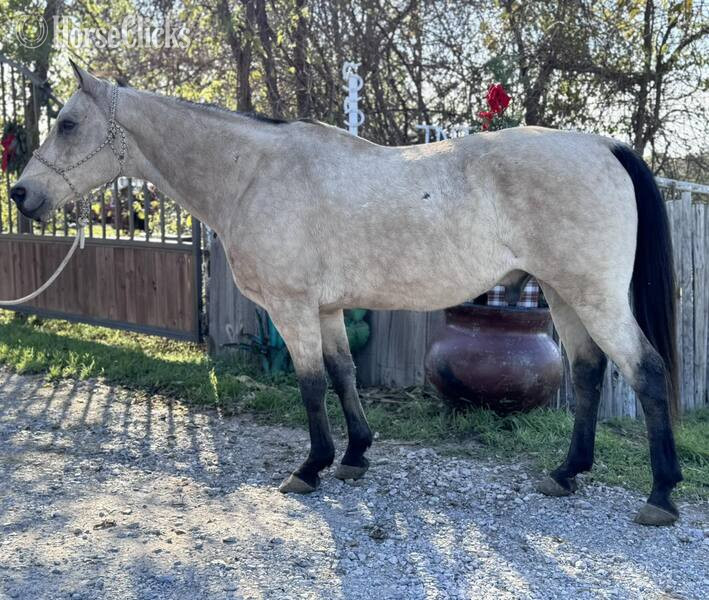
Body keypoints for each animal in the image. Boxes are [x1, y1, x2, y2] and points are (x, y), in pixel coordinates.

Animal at [9, 62, 682, 526]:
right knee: (590, 372)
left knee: (645, 371)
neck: (251, 174)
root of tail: (602, 146)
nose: (20, 194)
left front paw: (311, 467)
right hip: (566, 298)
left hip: (594, 297)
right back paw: (567, 474)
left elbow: (311, 385)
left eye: (68, 124)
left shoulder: (292, 309)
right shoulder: (328, 309)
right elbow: (342, 374)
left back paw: (661, 495)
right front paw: (355, 455)